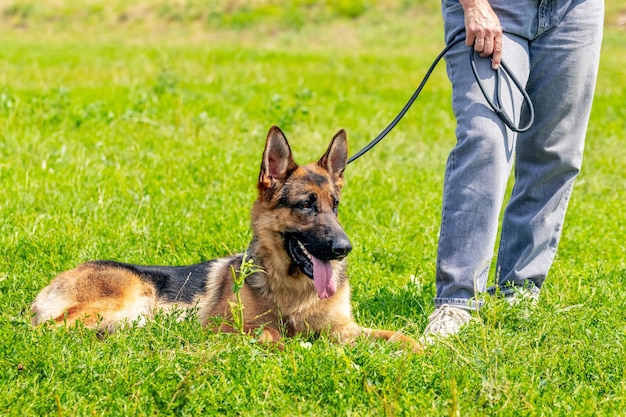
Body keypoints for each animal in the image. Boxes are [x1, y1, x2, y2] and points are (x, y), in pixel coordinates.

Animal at [29, 126, 420, 352]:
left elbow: (398, 337)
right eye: (306, 205)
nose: (343, 249)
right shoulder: (230, 328)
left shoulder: (344, 328)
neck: (294, 290)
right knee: (48, 329)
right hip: (132, 299)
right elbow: (272, 335)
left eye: (334, 206)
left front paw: (419, 351)